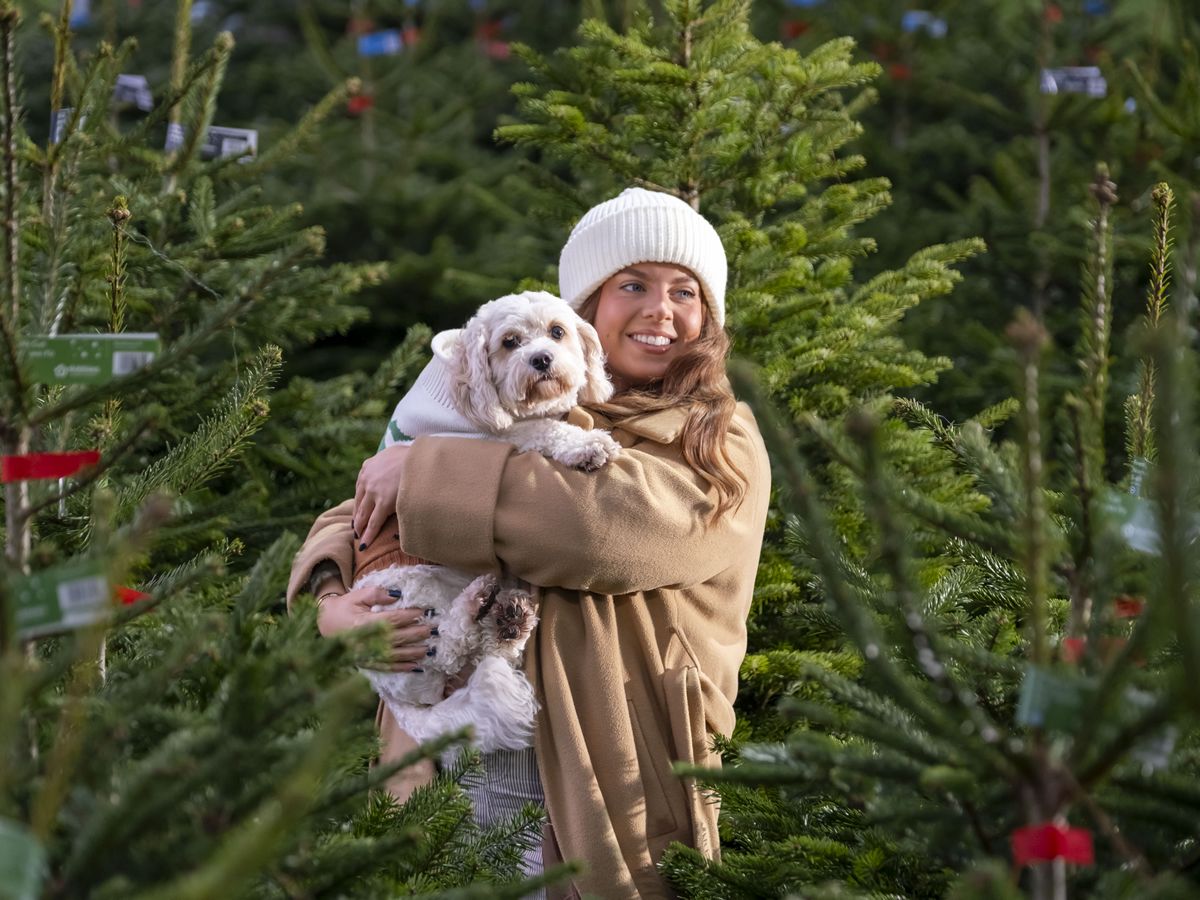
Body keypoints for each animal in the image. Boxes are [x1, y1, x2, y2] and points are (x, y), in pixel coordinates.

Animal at [355, 292, 619, 758]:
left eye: (557, 331)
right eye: (509, 342)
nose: (541, 359)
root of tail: (391, 694)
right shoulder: (494, 438)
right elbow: (544, 429)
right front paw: (588, 445)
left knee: (485, 654)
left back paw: (508, 623)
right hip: (409, 595)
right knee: (449, 647)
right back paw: (477, 607)